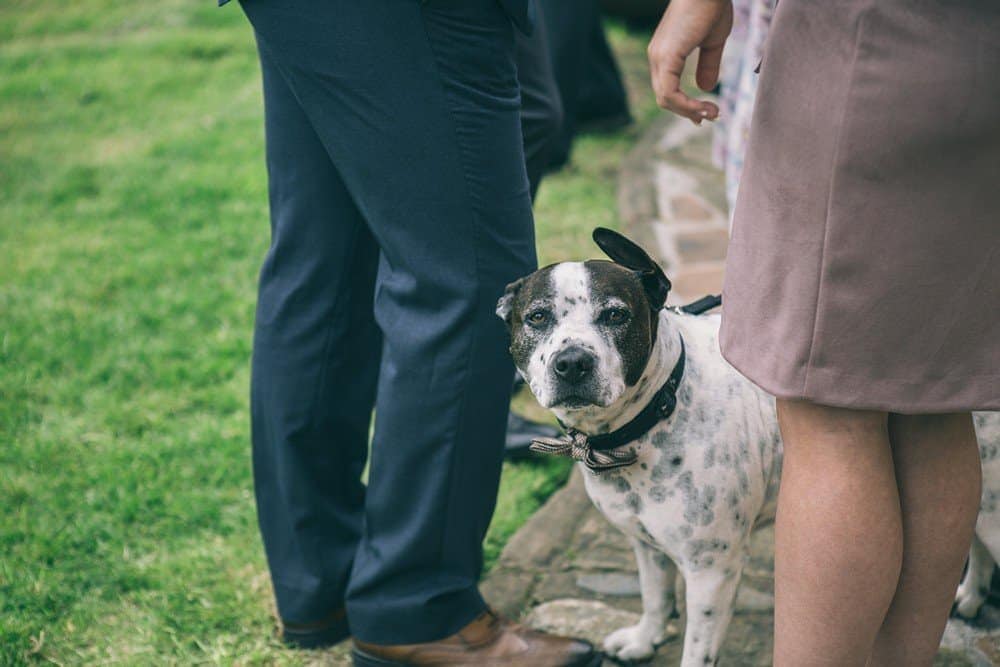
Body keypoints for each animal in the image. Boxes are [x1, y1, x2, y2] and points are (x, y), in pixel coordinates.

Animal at [498, 228, 1000, 664]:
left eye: (616, 315)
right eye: (537, 317)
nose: (572, 362)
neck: (659, 407)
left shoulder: (711, 573)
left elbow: (697, 651)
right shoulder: (646, 544)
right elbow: (654, 596)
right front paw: (644, 639)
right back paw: (971, 596)